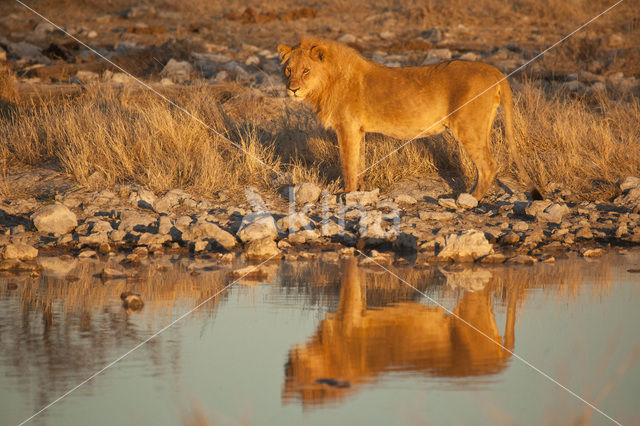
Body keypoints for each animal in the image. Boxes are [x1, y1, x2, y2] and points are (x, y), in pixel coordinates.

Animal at [278, 37, 544, 201]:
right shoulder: (358, 130)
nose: (292, 90)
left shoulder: (347, 127)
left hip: (468, 127)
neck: (327, 82)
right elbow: (359, 163)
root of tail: (495, 71)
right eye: (288, 70)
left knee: (488, 165)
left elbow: (348, 165)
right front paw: (360, 192)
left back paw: (470, 200)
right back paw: (469, 194)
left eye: (306, 71)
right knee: (484, 166)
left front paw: (346, 194)